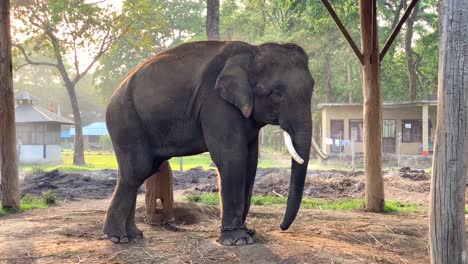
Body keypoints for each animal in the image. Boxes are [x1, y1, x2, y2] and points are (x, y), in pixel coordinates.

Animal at [104, 40, 316, 246]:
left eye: (312, 88)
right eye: (276, 93)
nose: (281, 227)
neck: (252, 50)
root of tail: (114, 92)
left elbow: (250, 161)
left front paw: (248, 233)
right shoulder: (216, 104)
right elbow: (232, 157)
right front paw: (237, 240)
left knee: (141, 171)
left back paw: (133, 235)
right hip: (126, 120)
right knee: (137, 171)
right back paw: (118, 237)